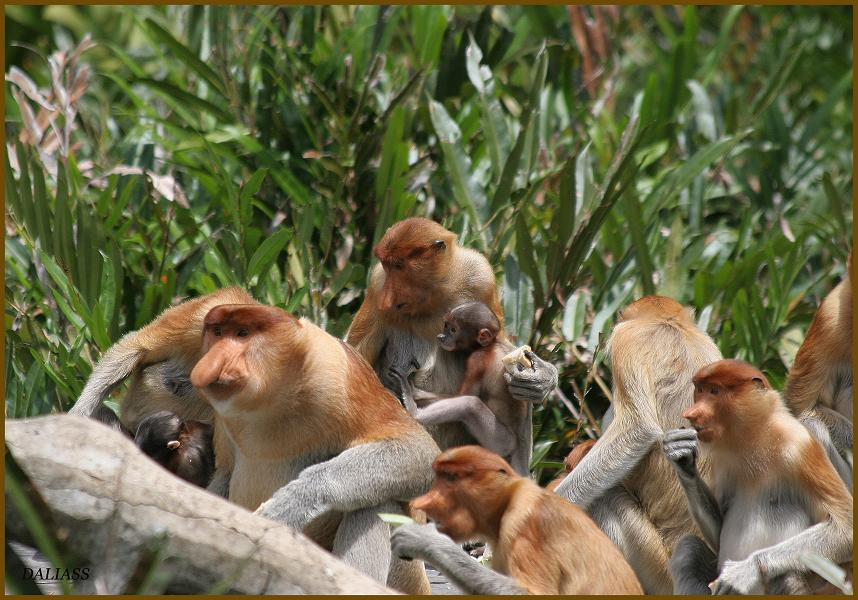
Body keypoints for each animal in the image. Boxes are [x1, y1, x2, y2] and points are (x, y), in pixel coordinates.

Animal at [189, 303, 440, 594]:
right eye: (217, 333)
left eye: (242, 333)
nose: (210, 365)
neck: (268, 400)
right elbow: (225, 475)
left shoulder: (337, 373)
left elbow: (417, 449)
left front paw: (289, 505)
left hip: (406, 575)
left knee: (375, 505)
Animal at [346, 217, 558, 455]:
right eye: (386, 265)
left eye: (399, 266)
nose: (387, 300)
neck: (436, 291)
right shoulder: (377, 285)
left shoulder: (480, 275)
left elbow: (500, 345)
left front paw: (542, 380)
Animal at [389, 301, 533, 476]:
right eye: (446, 326)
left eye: (453, 330)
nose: (442, 337)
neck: (491, 344)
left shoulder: (477, 360)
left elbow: (465, 394)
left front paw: (414, 392)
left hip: (503, 442)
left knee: (469, 404)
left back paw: (414, 410)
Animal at [389, 445, 644, 595]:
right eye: (439, 477)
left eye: (451, 478)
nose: (424, 502)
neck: (507, 501)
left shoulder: (528, 528)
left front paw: (422, 540)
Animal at [663, 359, 853, 595]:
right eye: (700, 390)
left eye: (714, 391)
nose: (690, 414)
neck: (755, 434)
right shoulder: (722, 462)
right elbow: (717, 534)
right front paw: (681, 455)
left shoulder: (799, 445)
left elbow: (845, 529)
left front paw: (742, 572)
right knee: (687, 550)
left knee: (785, 575)